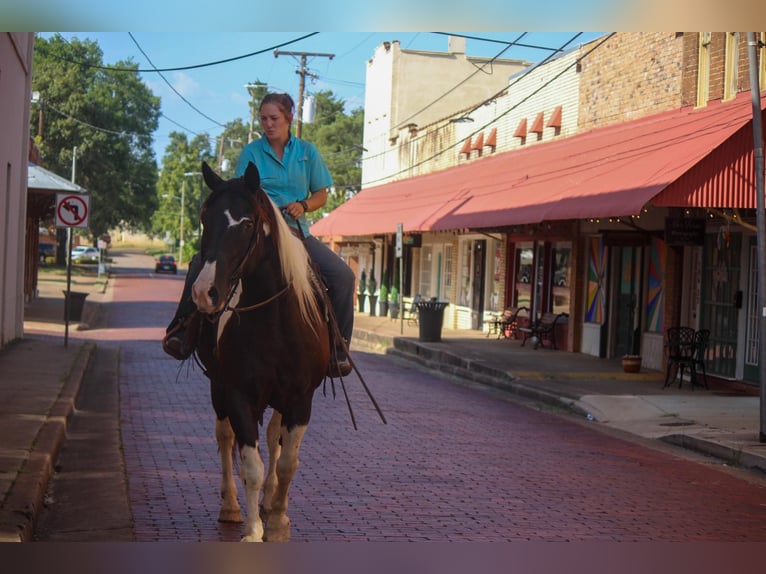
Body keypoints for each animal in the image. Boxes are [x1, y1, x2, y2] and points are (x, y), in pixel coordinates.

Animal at [191, 160, 330, 544]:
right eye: (204, 218)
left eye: (247, 223)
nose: (205, 292)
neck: (275, 322)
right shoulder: (238, 394)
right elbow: (251, 465)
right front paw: (254, 531)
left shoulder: (301, 399)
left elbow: (287, 462)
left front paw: (278, 521)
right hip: (218, 387)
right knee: (226, 438)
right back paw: (231, 505)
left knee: (273, 439)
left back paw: (269, 502)